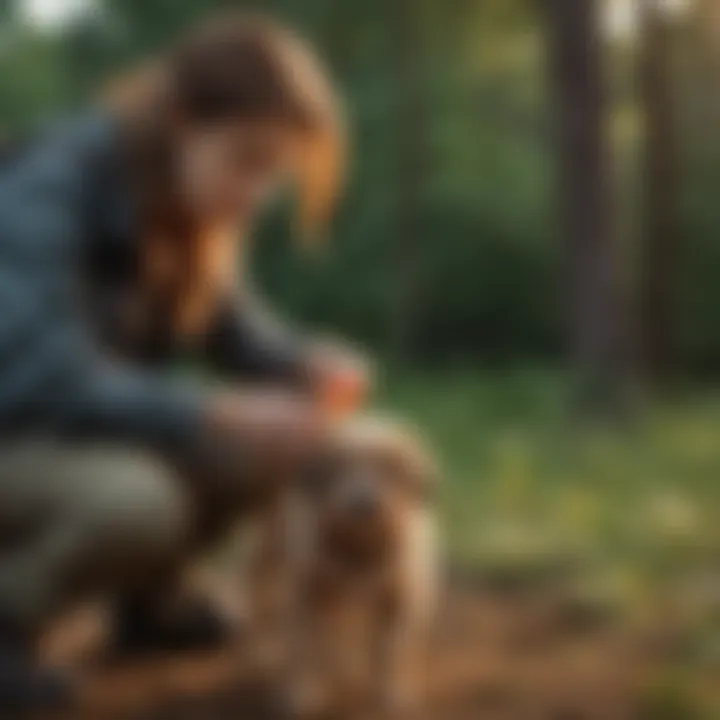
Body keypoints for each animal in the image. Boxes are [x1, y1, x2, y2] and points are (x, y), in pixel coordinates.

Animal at [245, 414, 438, 716]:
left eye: (391, 468)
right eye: (338, 466)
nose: (363, 506)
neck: (359, 550)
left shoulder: (401, 598)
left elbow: (391, 651)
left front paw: (393, 695)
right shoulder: (305, 593)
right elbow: (303, 648)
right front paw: (301, 695)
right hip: (270, 546)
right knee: (257, 590)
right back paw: (262, 652)